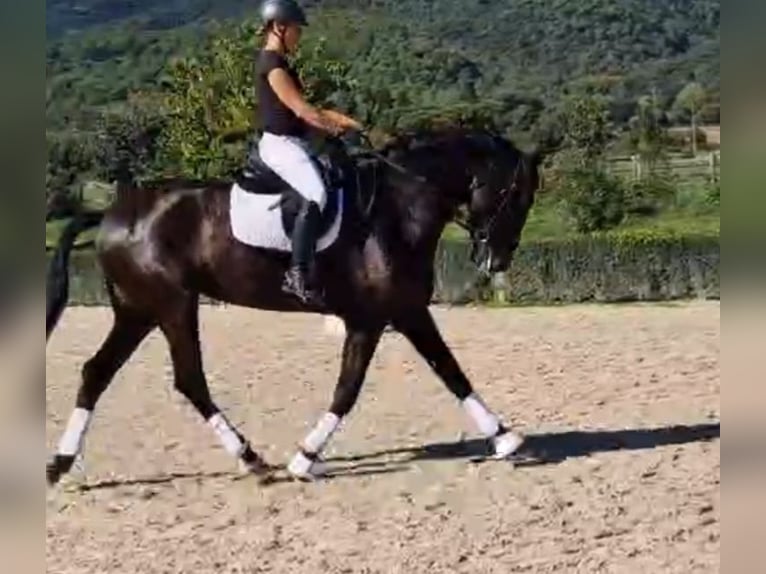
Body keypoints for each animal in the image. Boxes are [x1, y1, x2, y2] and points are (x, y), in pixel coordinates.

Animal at [45, 126, 541, 484]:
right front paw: (304, 458)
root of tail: (113, 213)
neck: (397, 210)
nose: (497, 259)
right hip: (172, 305)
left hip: (137, 310)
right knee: (189, 379)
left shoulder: (398, 314)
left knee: (98, 372)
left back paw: (61, 463)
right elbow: (359, 388)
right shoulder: (381, 317)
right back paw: (250, 458)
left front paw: (504, 438)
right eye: (516, 194)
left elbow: (447, 372)